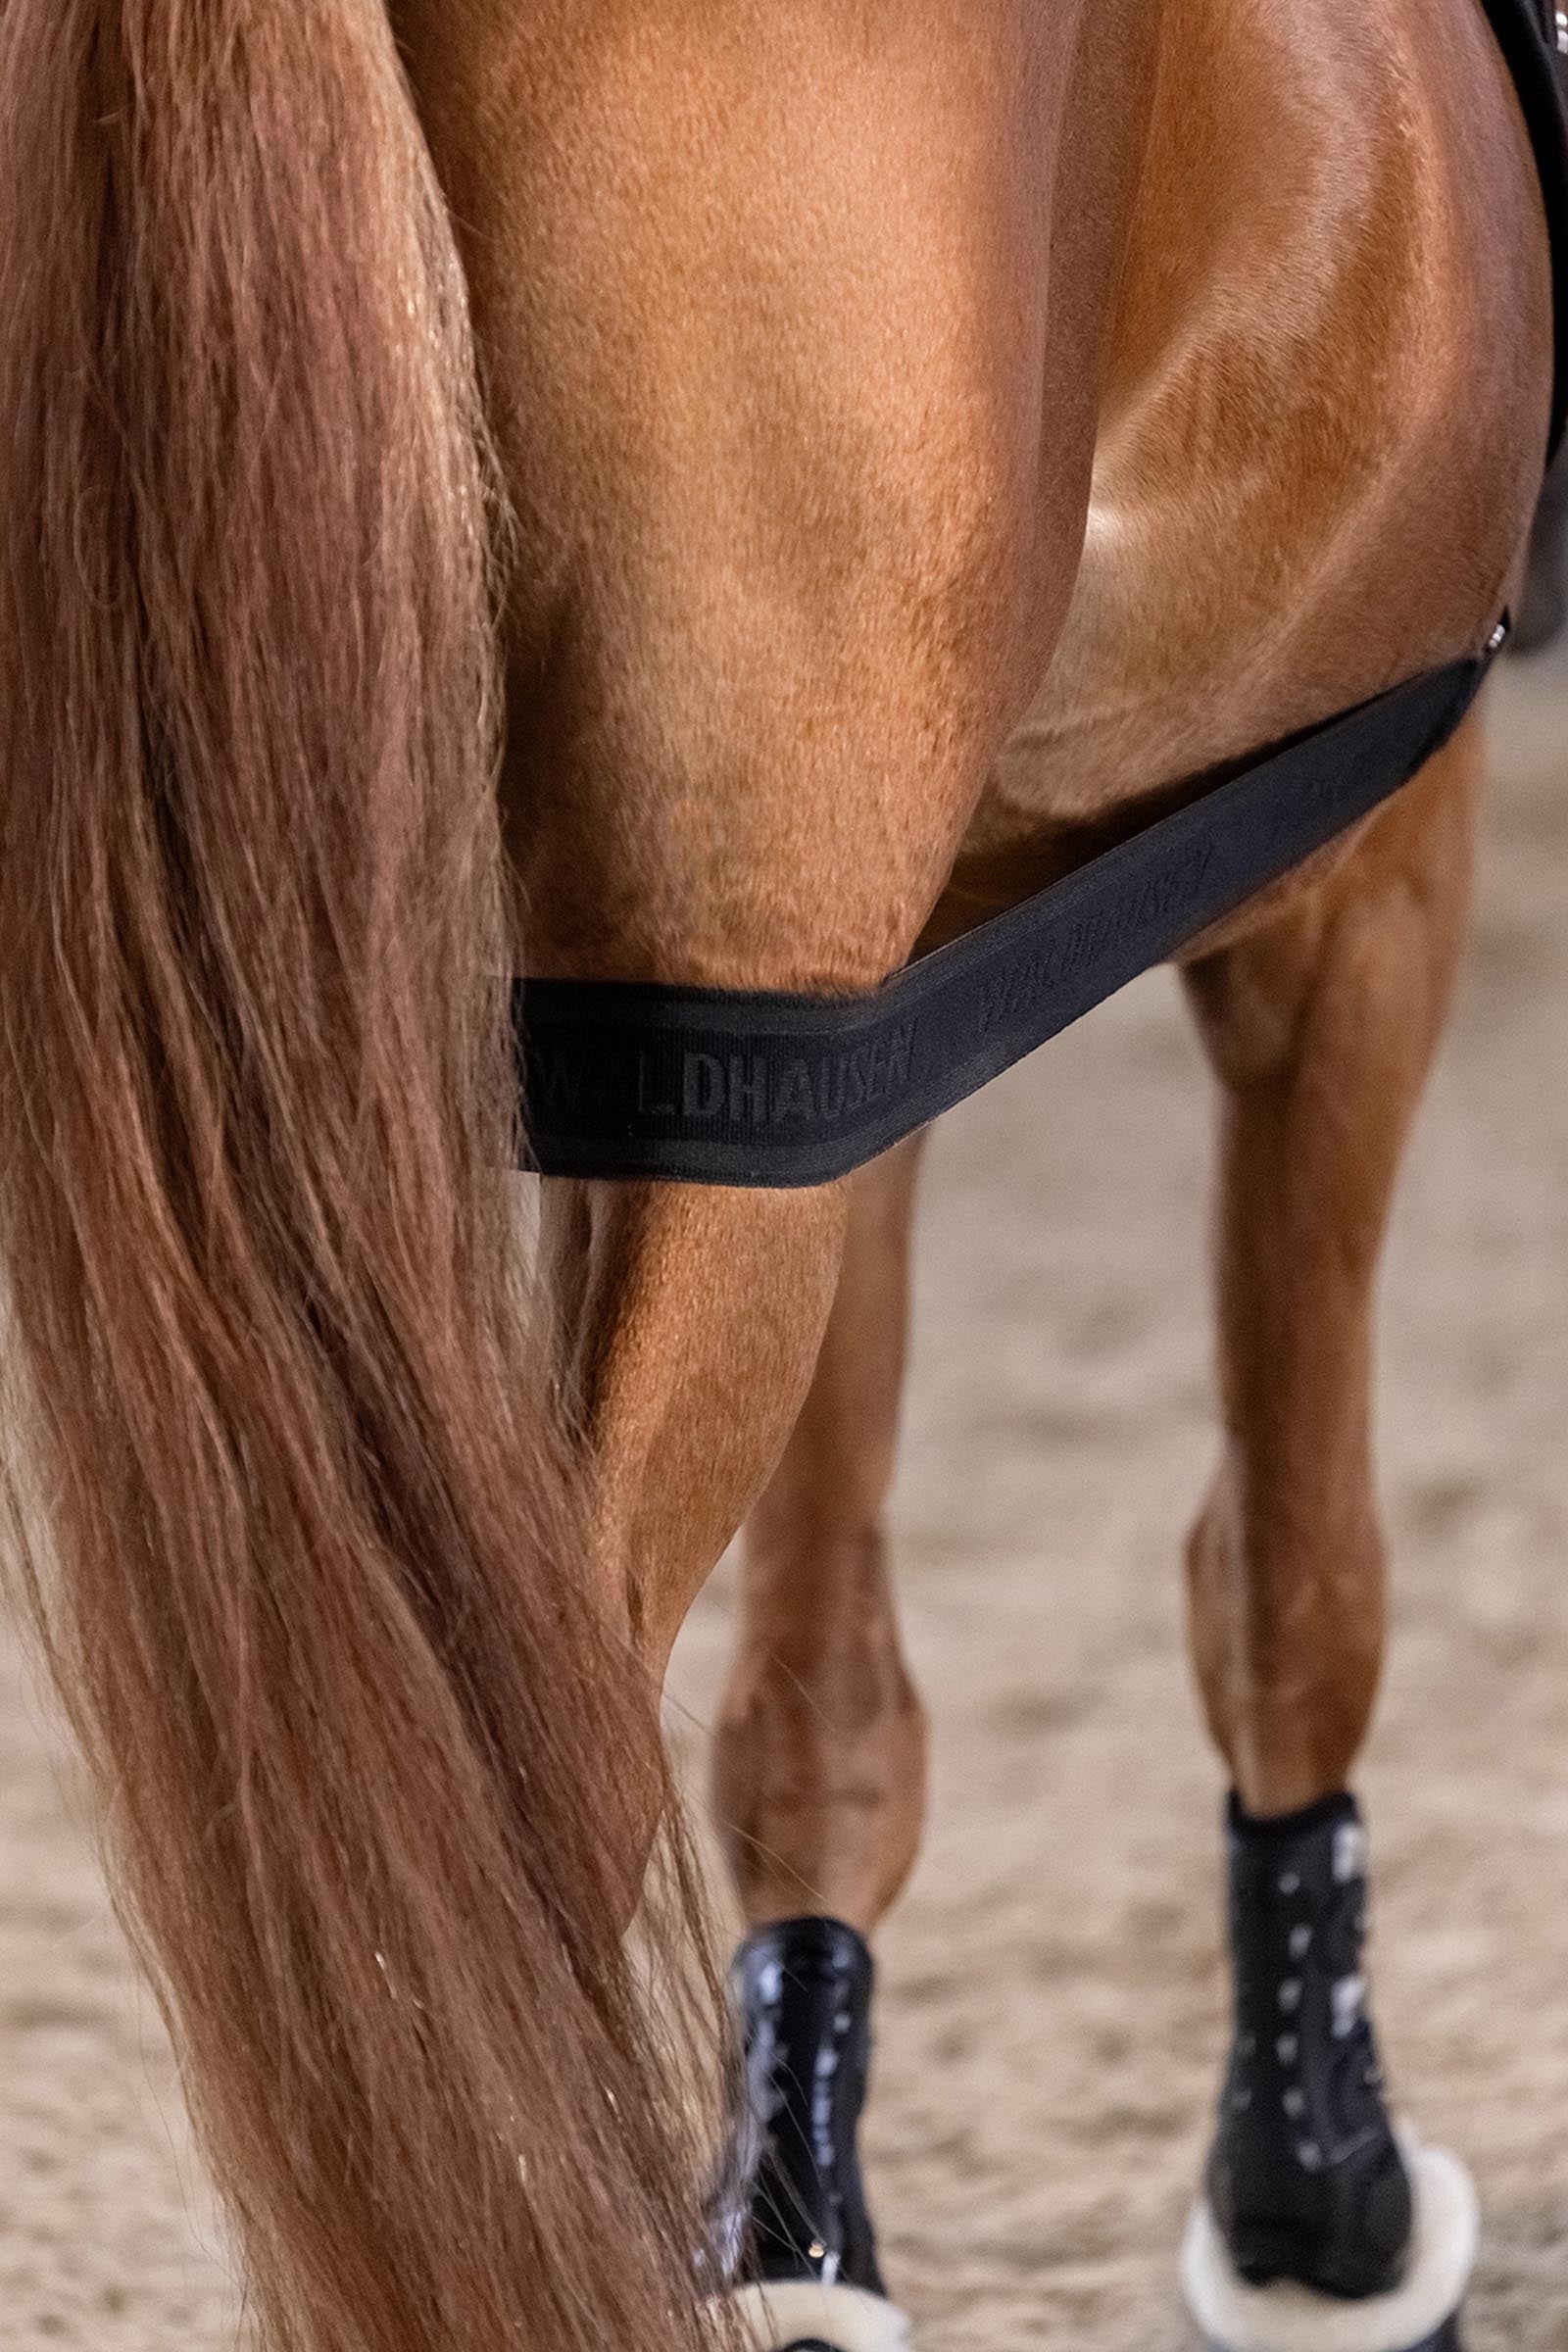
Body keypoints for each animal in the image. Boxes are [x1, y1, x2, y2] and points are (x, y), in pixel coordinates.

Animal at [0, 2, 1556, 2351]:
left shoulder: (852, 1033)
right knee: (510, 1810)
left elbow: (816, 1689)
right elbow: (1292, 1572)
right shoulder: (1362, 872)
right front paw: (1321, 2212)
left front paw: (801, 2219)